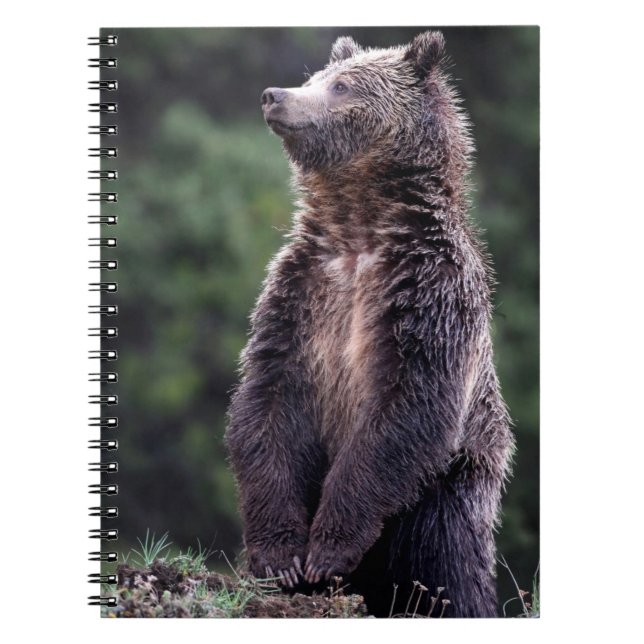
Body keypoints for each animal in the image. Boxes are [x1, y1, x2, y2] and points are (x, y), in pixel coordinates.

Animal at [225, 31, 514, 618]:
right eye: (314, 77)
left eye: (342, 86)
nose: (274, 96)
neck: (359, 226)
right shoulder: (301, 295)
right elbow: (265, 404)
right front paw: (280, 559)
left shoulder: (428, 295)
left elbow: (406, 408)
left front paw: (326, 551)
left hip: (448, 492)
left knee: (449, 566)